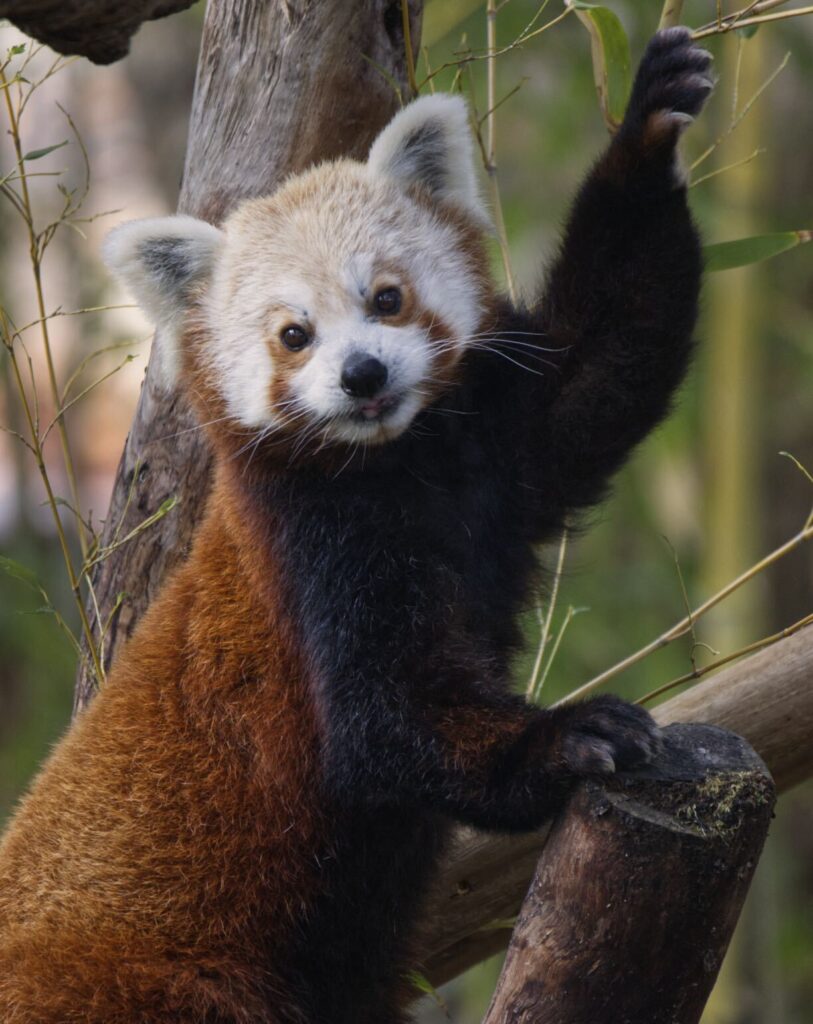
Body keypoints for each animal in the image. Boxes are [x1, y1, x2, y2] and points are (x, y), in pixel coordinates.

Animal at [0, 28, 708, 1024]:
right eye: (294, 334)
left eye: (386, 298)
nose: (362, 374)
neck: (399, 467)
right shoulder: (313, 551)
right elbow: (382, 719)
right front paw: (570, 735)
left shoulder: (499, 447)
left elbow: (606, 366)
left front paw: (650, 124)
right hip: (147, 978)